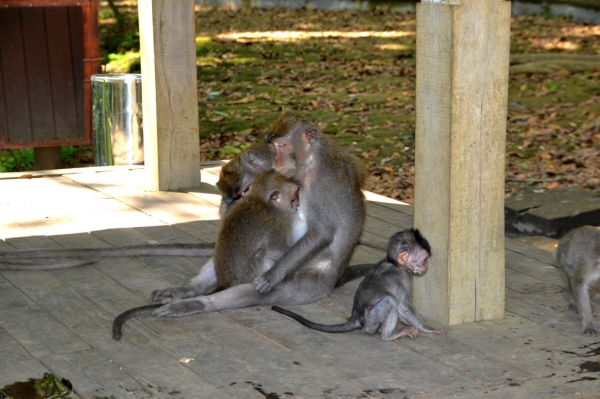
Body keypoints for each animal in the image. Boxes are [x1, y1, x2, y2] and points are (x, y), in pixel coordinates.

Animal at [149, 108, 366, 318]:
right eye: (274, 146)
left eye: (281, 145)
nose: (275, 159)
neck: (309, 162)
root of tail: (332, 280)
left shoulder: (320, 183)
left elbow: (321, 232)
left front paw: (271, 276)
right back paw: (188, 290)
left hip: (310, 281)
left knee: (258, 288)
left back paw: (199, 304)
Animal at [272, 228, 446, 340]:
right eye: (424, 259)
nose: (426, 266)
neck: (395, 264)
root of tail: (355, 317)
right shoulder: (403, 277)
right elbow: (403, 305)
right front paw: (427, 328)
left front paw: (406, 320)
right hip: (371, 321)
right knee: (390, 301)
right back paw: (388, 335)